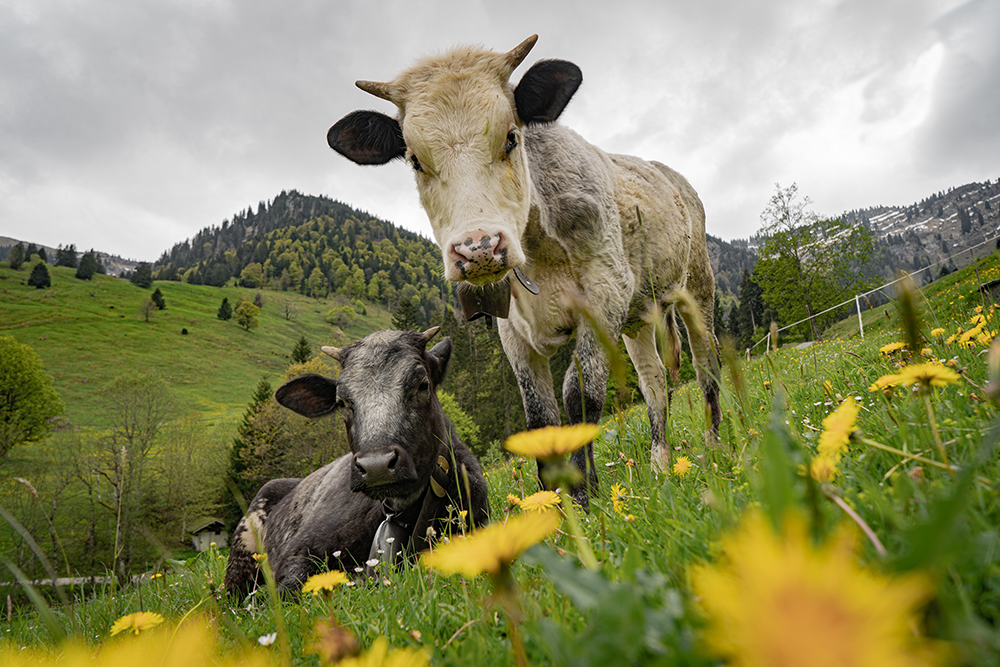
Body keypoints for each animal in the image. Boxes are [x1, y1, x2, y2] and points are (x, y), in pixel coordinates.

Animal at [330, 32, 728, 500]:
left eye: (510, 138)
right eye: (414, 159)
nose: (478, 249)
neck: (537, 250)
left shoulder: (604, 291)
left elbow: (580, 394)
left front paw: (584, 495)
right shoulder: (512, 327)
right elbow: (538, 414)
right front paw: (554, 501)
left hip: (697, 286)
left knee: (707, 364)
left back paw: (716, 444)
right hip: (637, 319)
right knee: (655, 384)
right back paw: (660, 464)